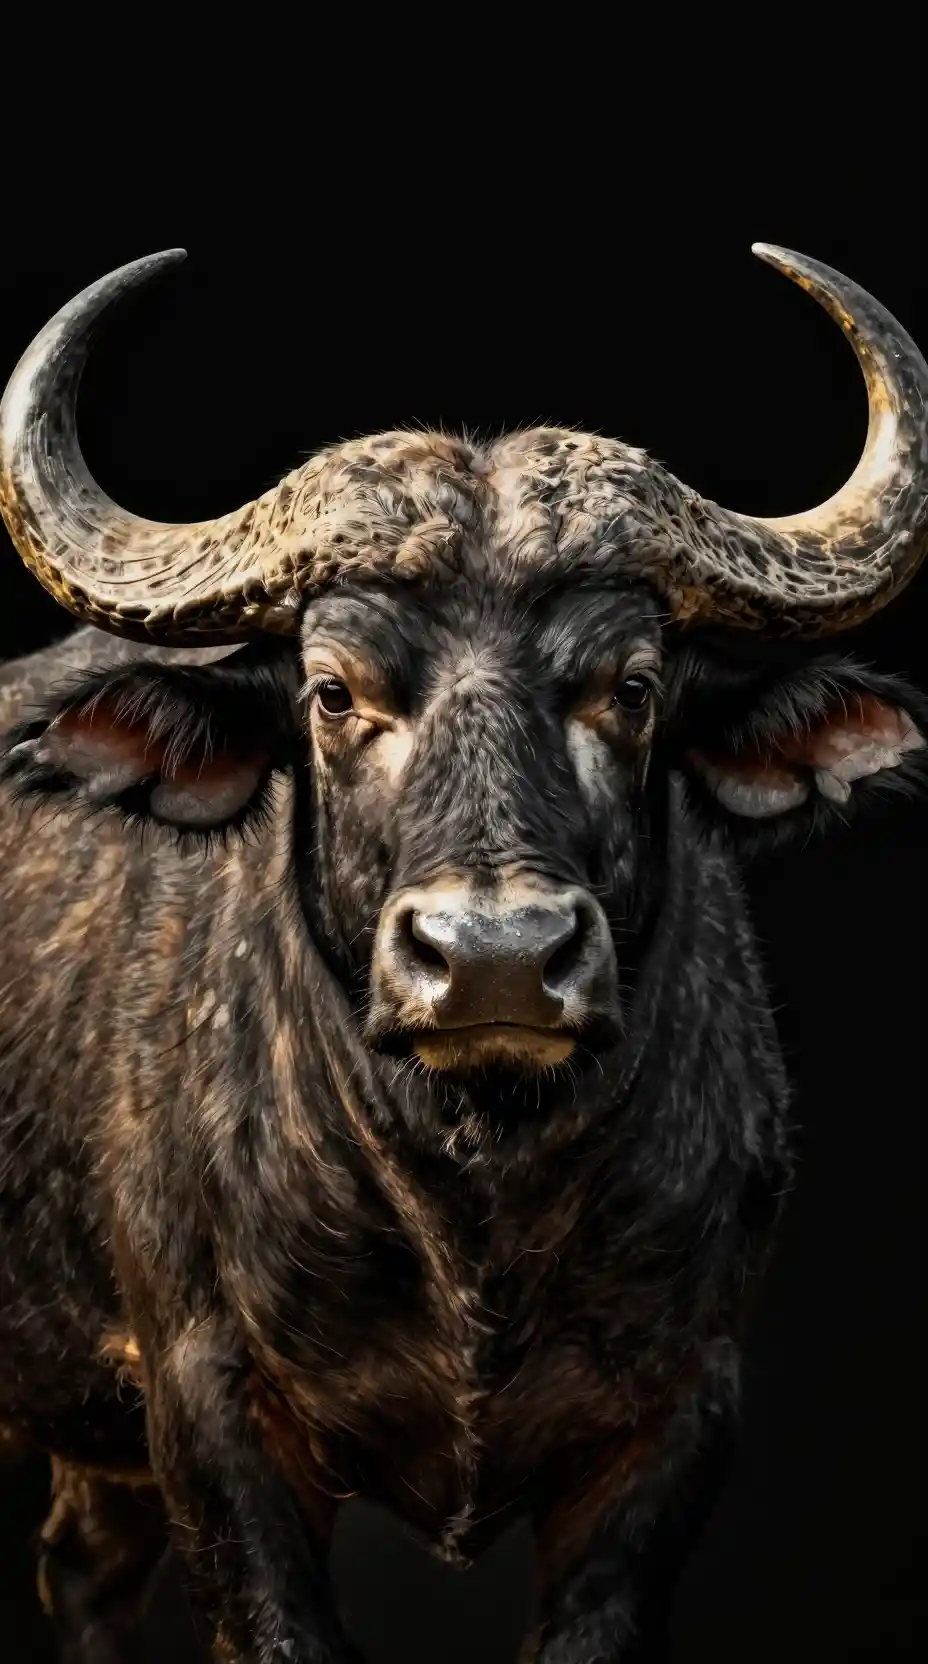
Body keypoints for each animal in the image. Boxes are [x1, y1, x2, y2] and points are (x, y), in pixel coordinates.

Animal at [0, 245, 925, 1663]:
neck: (472, 1198)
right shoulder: (211, 1411)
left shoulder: (676, 1418)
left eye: (632, 686)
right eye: (333, 692)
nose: (495, 956)